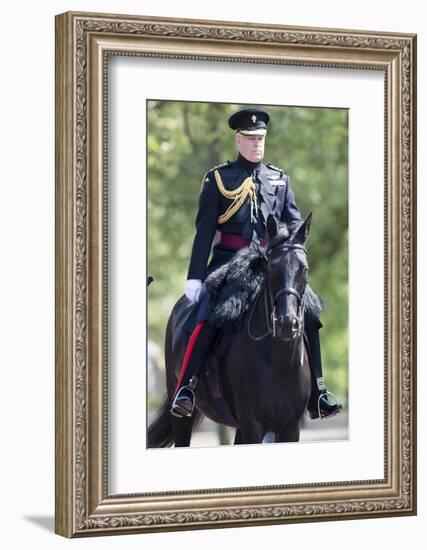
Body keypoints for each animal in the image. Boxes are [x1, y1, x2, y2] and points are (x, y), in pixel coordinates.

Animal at [149, 216, 316, 448]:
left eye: (305, 269)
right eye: (271, 268)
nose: (286, 323)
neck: (280, 362)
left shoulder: (290, 429)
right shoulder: (253, 425)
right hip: (182, 415)